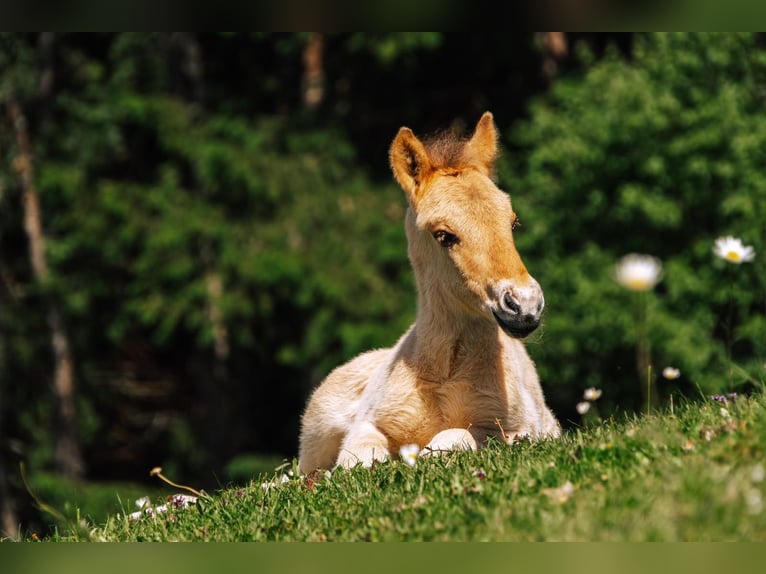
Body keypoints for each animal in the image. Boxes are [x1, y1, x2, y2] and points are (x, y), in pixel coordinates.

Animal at [298, 112, 560, 472]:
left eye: (512, 223)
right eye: (444, 235)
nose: (525, 305)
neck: (443, 372)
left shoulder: (515, 430)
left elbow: (449, 440)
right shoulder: (367, 424)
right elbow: (358, 459)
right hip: (316, 434)